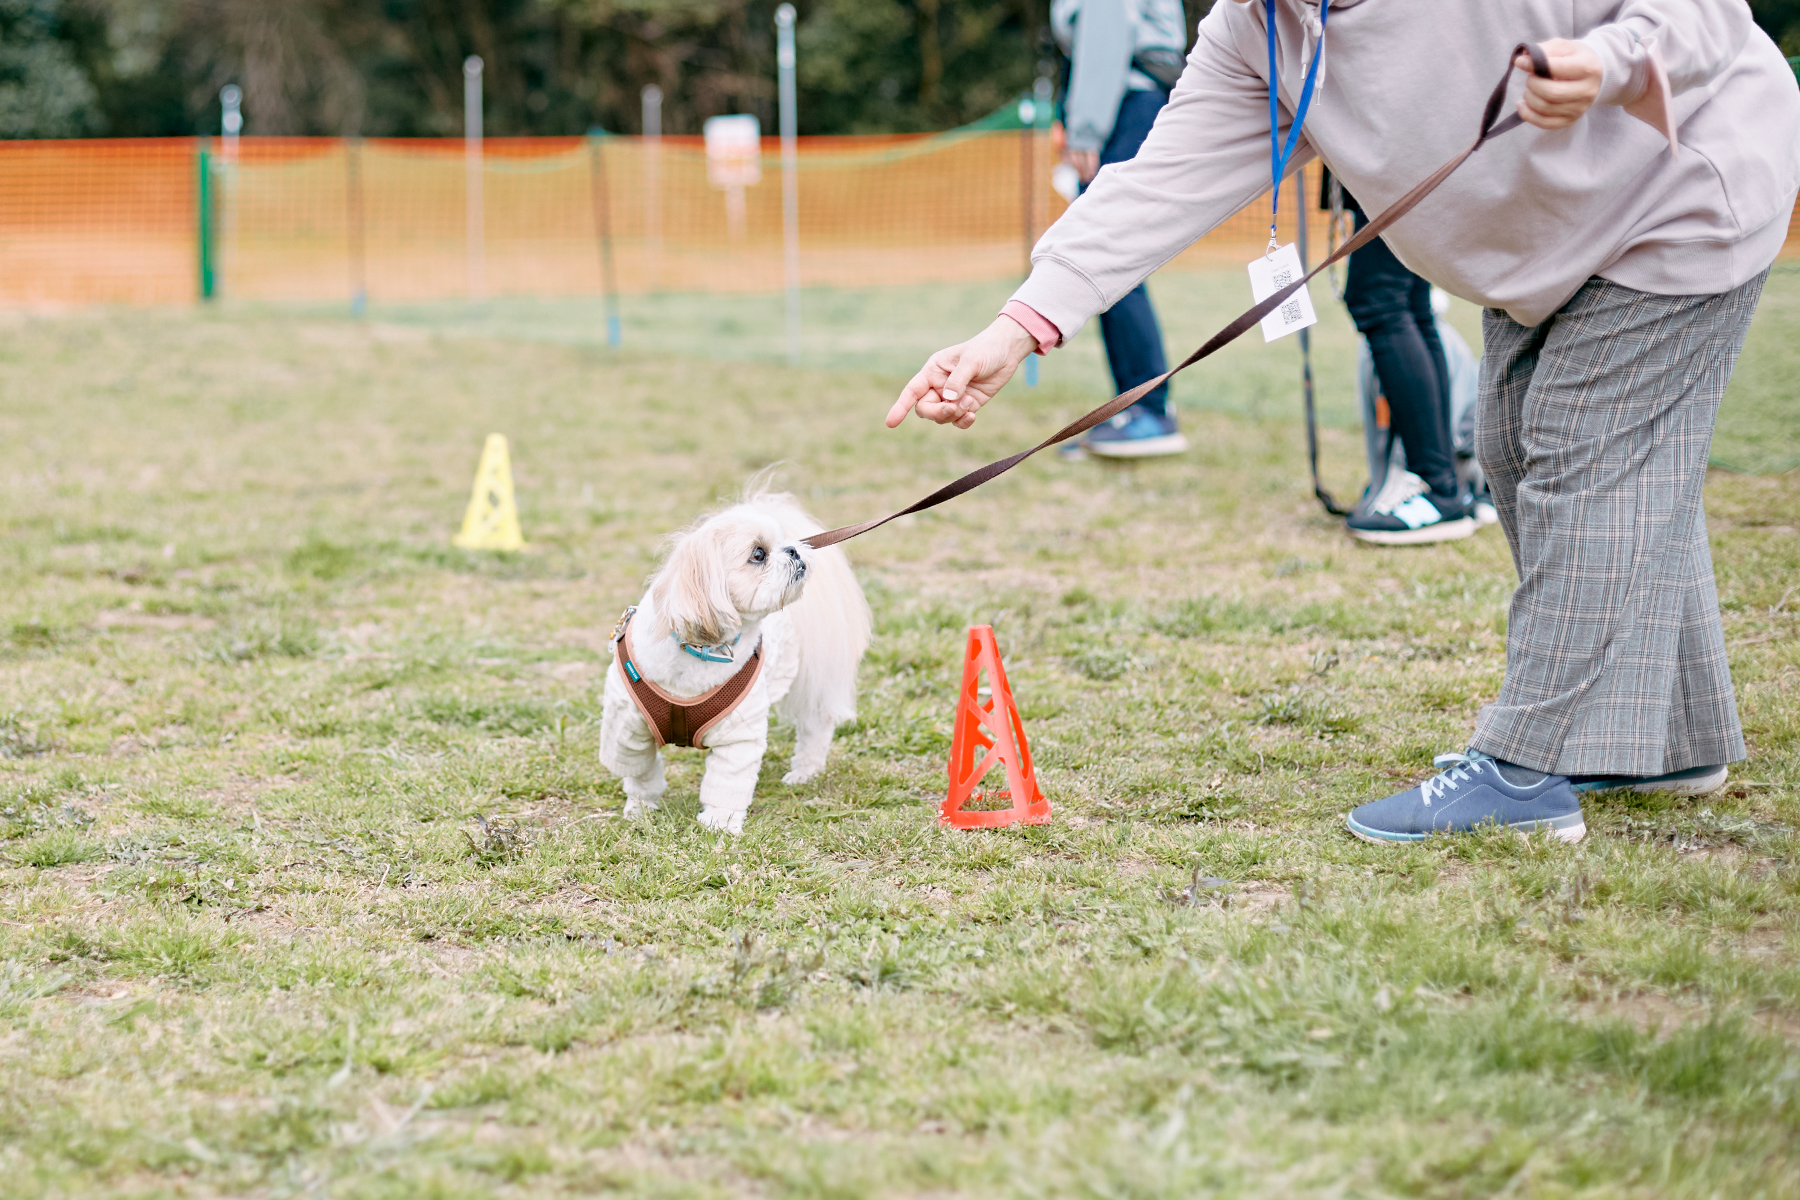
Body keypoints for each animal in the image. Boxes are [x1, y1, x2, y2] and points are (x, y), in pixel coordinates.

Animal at [601, 492, 874, 831]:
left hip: (812, 679)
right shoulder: (628, 730)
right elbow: (641, 774)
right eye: (758, 554)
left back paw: (803, 772)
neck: (701, 649)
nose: (794, 549)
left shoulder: (739, 733)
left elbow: (727, 782)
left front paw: (719, 823)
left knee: (815, 726)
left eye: (784, 543)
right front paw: (640, 809)